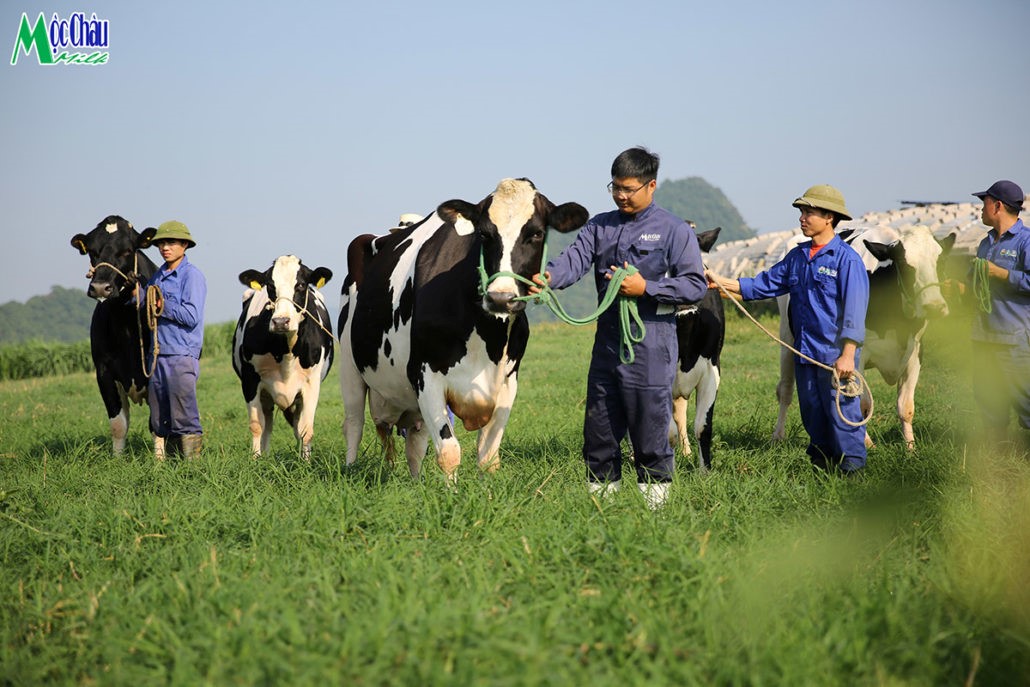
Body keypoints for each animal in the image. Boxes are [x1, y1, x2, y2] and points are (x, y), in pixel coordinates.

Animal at [69, 215, 156, 451]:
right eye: (92, 251)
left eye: (127, 250)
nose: (100, 287)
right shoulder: (104, 372)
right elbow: (118, 425)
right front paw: (117, 458)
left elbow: (157, 422)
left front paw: (160, 458)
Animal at [231, 255, 331, 459]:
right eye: (270, 285)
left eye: (301, 285)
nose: (281, 321)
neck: (287, 350)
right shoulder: (250, 380)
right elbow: (257, 426)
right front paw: (256, 460)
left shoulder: (311, 383)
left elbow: (306, 429)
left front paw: (306, 461)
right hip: (266, 395)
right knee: (267, 424)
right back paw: (265, 455)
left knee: (295, 425)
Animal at [337, 179, 589, 477]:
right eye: (484, 234)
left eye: (537, 233)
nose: (501, 297)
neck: (486, 338)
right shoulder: (425, 374)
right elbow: (448, 451)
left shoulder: (508, 380)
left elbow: (489, 455)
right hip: (349, 366)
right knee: (354, 423)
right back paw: (350, 469)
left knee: (414, 442)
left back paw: (415, 480)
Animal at [770, 225, 951, 451]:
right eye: (904, 264)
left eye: (940, 262)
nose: (934, 307)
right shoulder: (858, 355)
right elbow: (862, 404)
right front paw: (867, 445)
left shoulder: (916, 352)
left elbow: (906, 406)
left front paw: (910, 448)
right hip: (787, 340)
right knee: (785, 390)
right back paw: (778, 435)